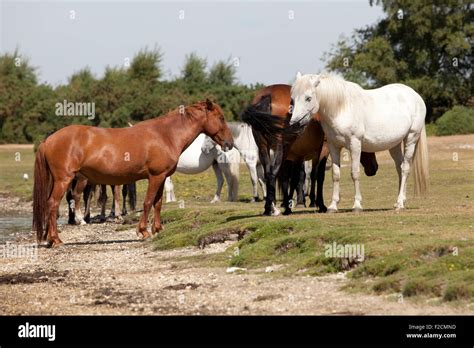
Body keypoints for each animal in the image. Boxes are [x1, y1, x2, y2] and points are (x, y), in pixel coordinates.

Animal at [33, 99, 233, 246]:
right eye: (221, 118)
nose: (229, 143)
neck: (165, 135)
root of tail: (48, 140)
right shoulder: (155, 177)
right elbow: (148, 202)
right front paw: (143, 231)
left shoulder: (162, 177)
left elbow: (158, 204)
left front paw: (158, 229)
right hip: (64, 180)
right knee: (52, 204)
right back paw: (56, 239)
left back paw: (51, 238)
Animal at [288, 73, 430, 212]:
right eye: (293, 99)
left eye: (308, 98)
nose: (294, 124)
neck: (341, 109)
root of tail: (415, 95)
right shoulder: (334, 146)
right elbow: (336, 175)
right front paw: (333, 206)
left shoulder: (355, 144)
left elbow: (355, 173)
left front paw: (357, 205)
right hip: (394, 145)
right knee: (399, 168)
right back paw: (399, 202)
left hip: (411, 138)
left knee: (405, 168)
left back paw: (400, 203)